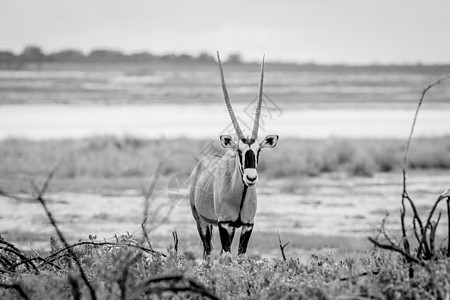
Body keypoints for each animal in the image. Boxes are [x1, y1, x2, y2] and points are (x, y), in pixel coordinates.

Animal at [189, 53, 278, 258]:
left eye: (259, 150)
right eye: (239, 151)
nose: (251, 177)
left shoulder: (247, 226)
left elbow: (240, 257)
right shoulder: (224, 224)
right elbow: (227, 257)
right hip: (201, 221)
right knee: (208, 252)